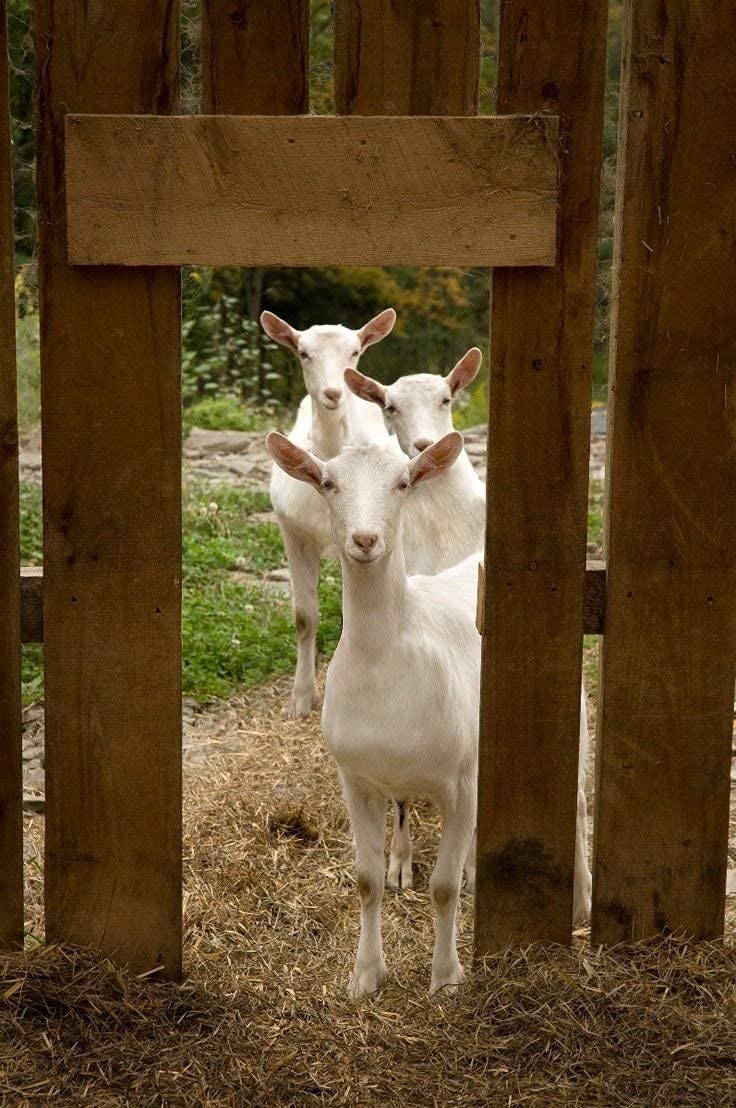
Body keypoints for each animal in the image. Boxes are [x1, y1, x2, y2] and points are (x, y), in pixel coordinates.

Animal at [261, 308, 396, 717]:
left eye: (355, 352)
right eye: (303, 353)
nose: (334, 393)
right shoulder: (293, 532)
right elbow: (304, 617)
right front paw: (302, 697)